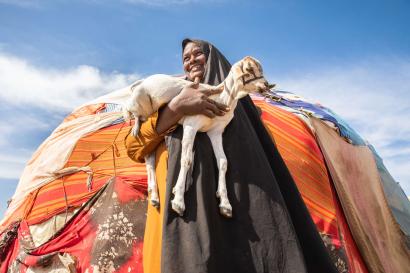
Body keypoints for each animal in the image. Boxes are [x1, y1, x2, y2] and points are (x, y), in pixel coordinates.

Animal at [125, 55, 272, 217]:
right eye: (249, 69)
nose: (266, 85)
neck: (221, 97)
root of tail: (142, 82)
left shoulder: (216, 132)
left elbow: (223, 162)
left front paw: (225, 204)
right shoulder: (191, 125)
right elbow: (186, 159)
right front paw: (178, 201)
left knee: (150, 157)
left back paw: (155, 198)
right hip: (141, 103)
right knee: (135, 116)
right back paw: (135, 126)